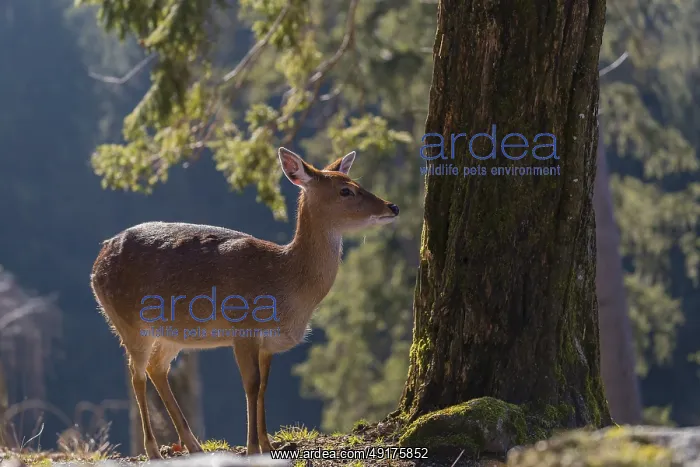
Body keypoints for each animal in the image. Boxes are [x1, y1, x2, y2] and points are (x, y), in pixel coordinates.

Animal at [90, 147, 399, 459]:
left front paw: (268, 445)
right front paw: (252, 448)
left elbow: (263, 387)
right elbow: (251, 384)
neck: (286, 286)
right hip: (126, 319)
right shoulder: (242, 328)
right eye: (346, 190)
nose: (392, 207)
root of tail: (97, 262)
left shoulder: (268, 342)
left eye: (356, 181)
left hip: (172, 332)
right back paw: (154, 450)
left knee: (157, 368)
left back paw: (194, 445)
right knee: (137, 373)